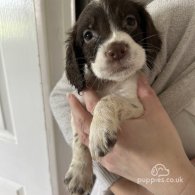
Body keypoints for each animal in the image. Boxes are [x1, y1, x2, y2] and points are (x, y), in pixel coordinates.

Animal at [64, 0, 161, 194]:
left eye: (130, 21)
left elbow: (107, 100)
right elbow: (78, 139)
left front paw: (99, 131)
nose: (116, 50)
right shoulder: (77, 107)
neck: (107, 83)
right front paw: (79, 173)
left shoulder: (137, 105)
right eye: (88, 35)